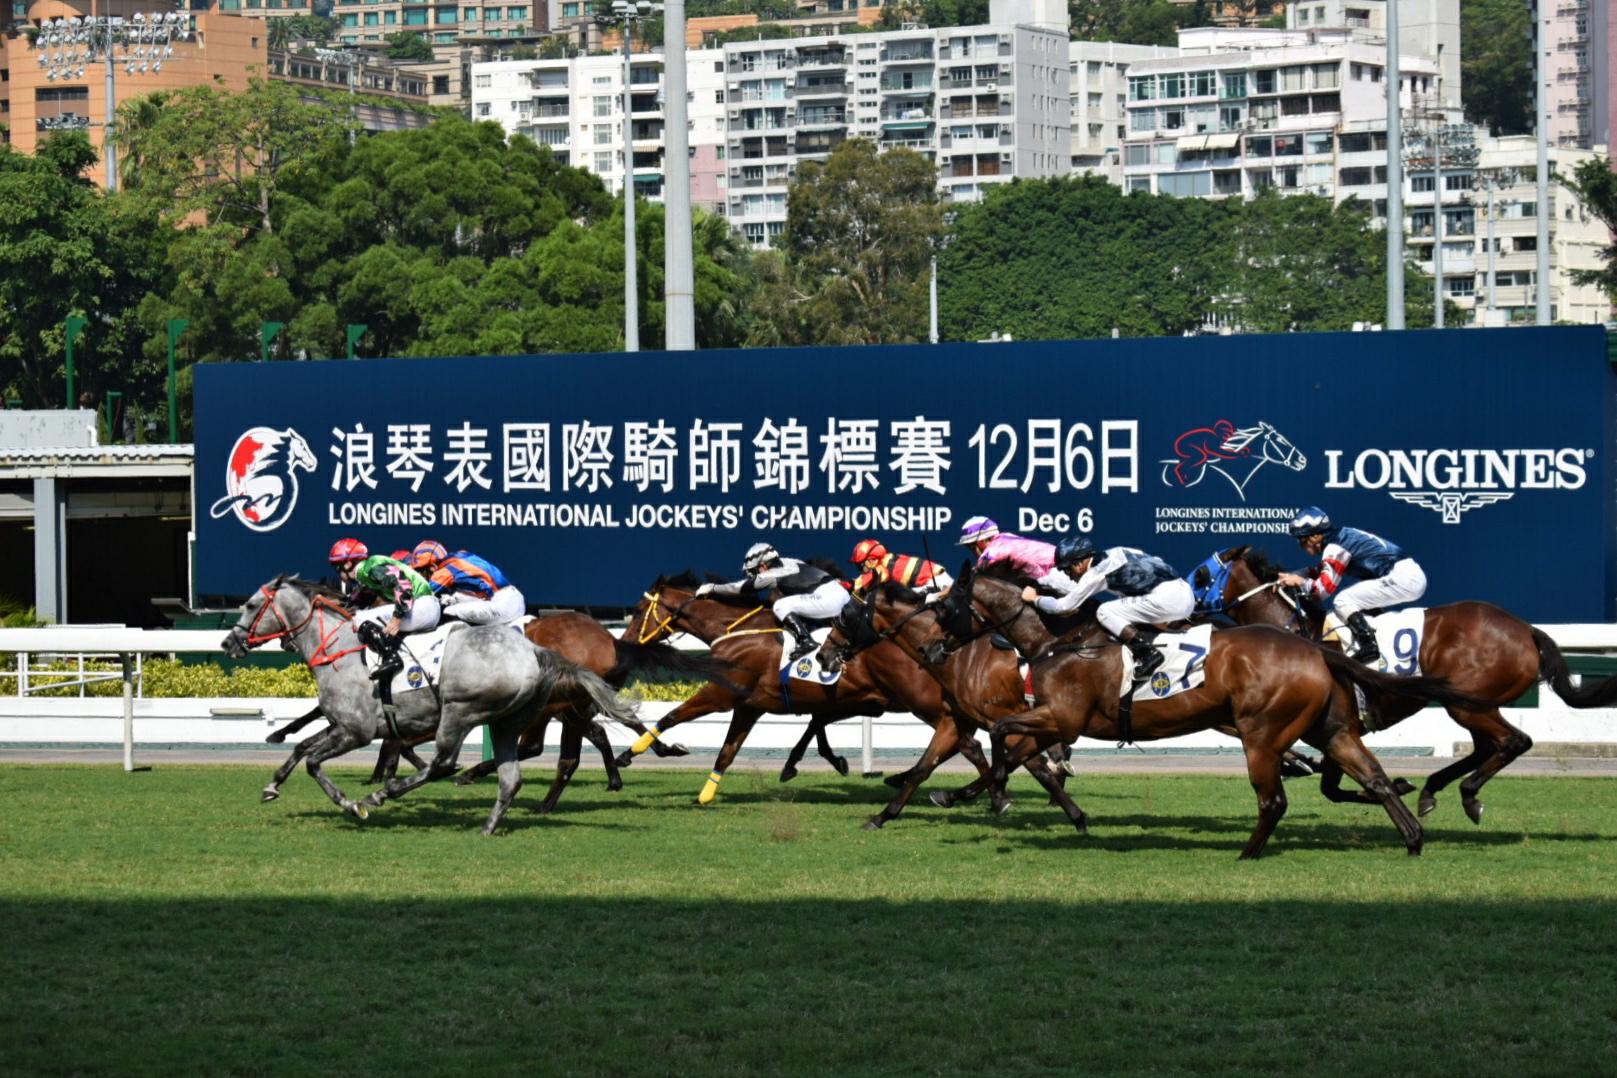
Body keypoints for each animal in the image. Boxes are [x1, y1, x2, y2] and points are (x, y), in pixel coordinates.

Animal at [224, 578, 640, 840]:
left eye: (250, 605)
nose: (229, 642)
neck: (340, 649)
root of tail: (535, 651)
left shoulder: (356, 731)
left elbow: (313, 762)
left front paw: (351, 804)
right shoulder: (342, 725)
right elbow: (300, 749)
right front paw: (272, 785)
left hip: (460, 711)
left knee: (445, 763)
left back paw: (386, 793)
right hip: (508, 722)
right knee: (511, 778)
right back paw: (488, 826)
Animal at [614, 572, 1060, 827]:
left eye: (637, 609)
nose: (622, 644)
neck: (734, 631)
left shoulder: (722, 692)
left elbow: (672, 716)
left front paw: (635, 754)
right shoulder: (749, 705)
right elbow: (728, 750)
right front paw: (706, 793)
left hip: (923, 703)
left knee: (970, 746)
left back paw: (995, 794)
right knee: (972, 745)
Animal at [834, 565, 1487, 859]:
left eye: (948, 607)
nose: (935, 650)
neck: (1050, 641)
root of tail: (1313, 648)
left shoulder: (1058, 719)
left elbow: (1008, 745)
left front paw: (985, 793)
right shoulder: (994, 718)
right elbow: (967, 759)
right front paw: (916, 804)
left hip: (1259, 731)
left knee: (1273, 798)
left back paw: (1248, 851)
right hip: (1331, 728)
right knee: (1370, 775)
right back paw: (1412, 835)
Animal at [1215, 543, 1617, 821]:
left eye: (1205, 576)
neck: (1298, 632)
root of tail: (1526, 630)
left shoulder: (1341, 722)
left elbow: (1334, 785)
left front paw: (1394, 785)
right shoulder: (1338, 727)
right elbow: (1331, 787)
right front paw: (1396, 785)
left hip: (1467, 704)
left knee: (1514, 741)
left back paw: (1466, 794)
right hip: (1473, 706)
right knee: (1488, 747)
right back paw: (1434, 790)